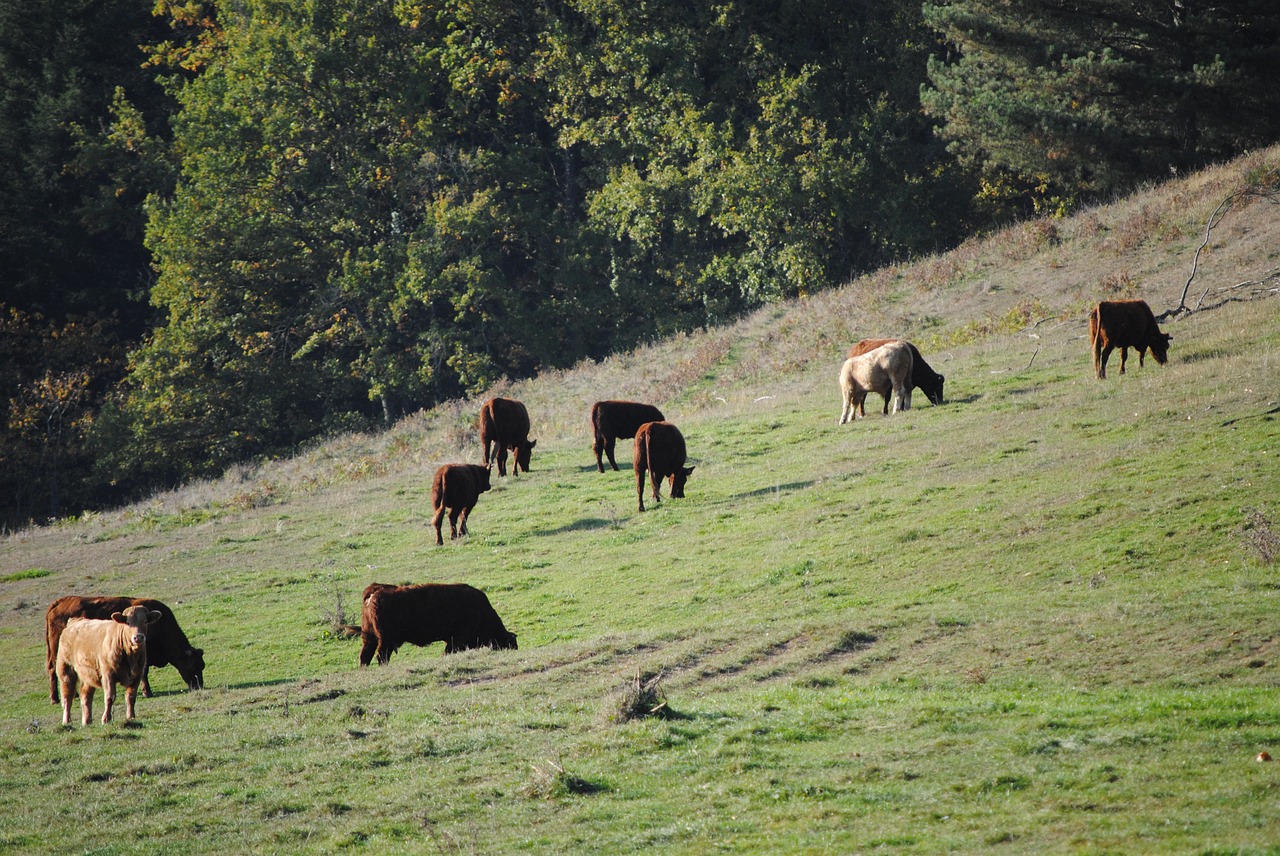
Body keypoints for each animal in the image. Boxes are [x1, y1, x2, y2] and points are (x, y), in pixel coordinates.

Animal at [46, 593, 204, 701]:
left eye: (202, 666)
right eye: (193, 666)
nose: (199, 686)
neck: (160, 625)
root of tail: (59, 603)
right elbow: (144, 673)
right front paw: (147, 692)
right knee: (55, 670)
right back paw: (57, 698)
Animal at [355, 578, 514, 665]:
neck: (481, 610)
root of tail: (376, 590)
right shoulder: (457, 638)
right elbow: (449, 651)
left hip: (370, 637)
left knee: (365, 656)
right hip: (385, 640)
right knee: (381, 656)